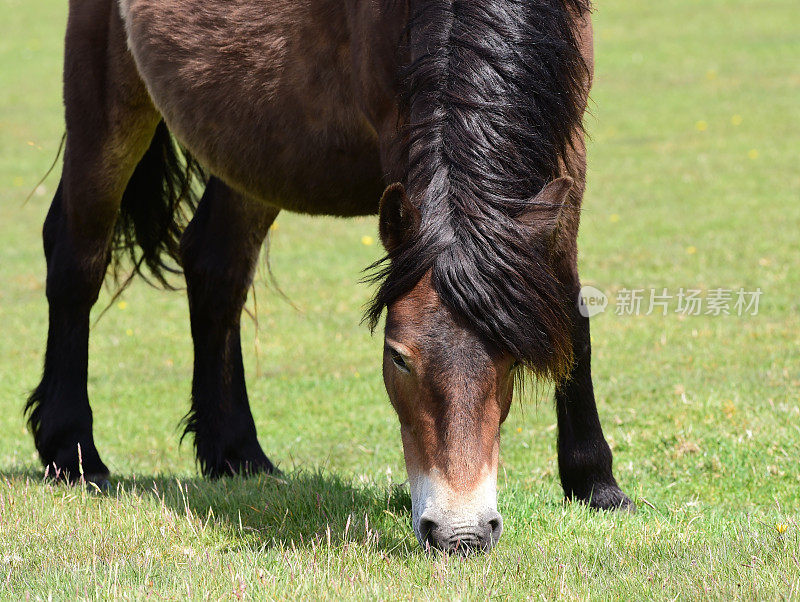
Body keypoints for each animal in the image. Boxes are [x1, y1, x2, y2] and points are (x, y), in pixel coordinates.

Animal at [28, 0, 636, 552]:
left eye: (511, 360)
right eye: (397, 357)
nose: (461, 534)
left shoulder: (567, 153)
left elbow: (572, 313)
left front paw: (596, 486)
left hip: (251, 149)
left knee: (216, 268)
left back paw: (237, 453)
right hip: (106, 112)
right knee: (77, 261)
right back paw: (73, 451)